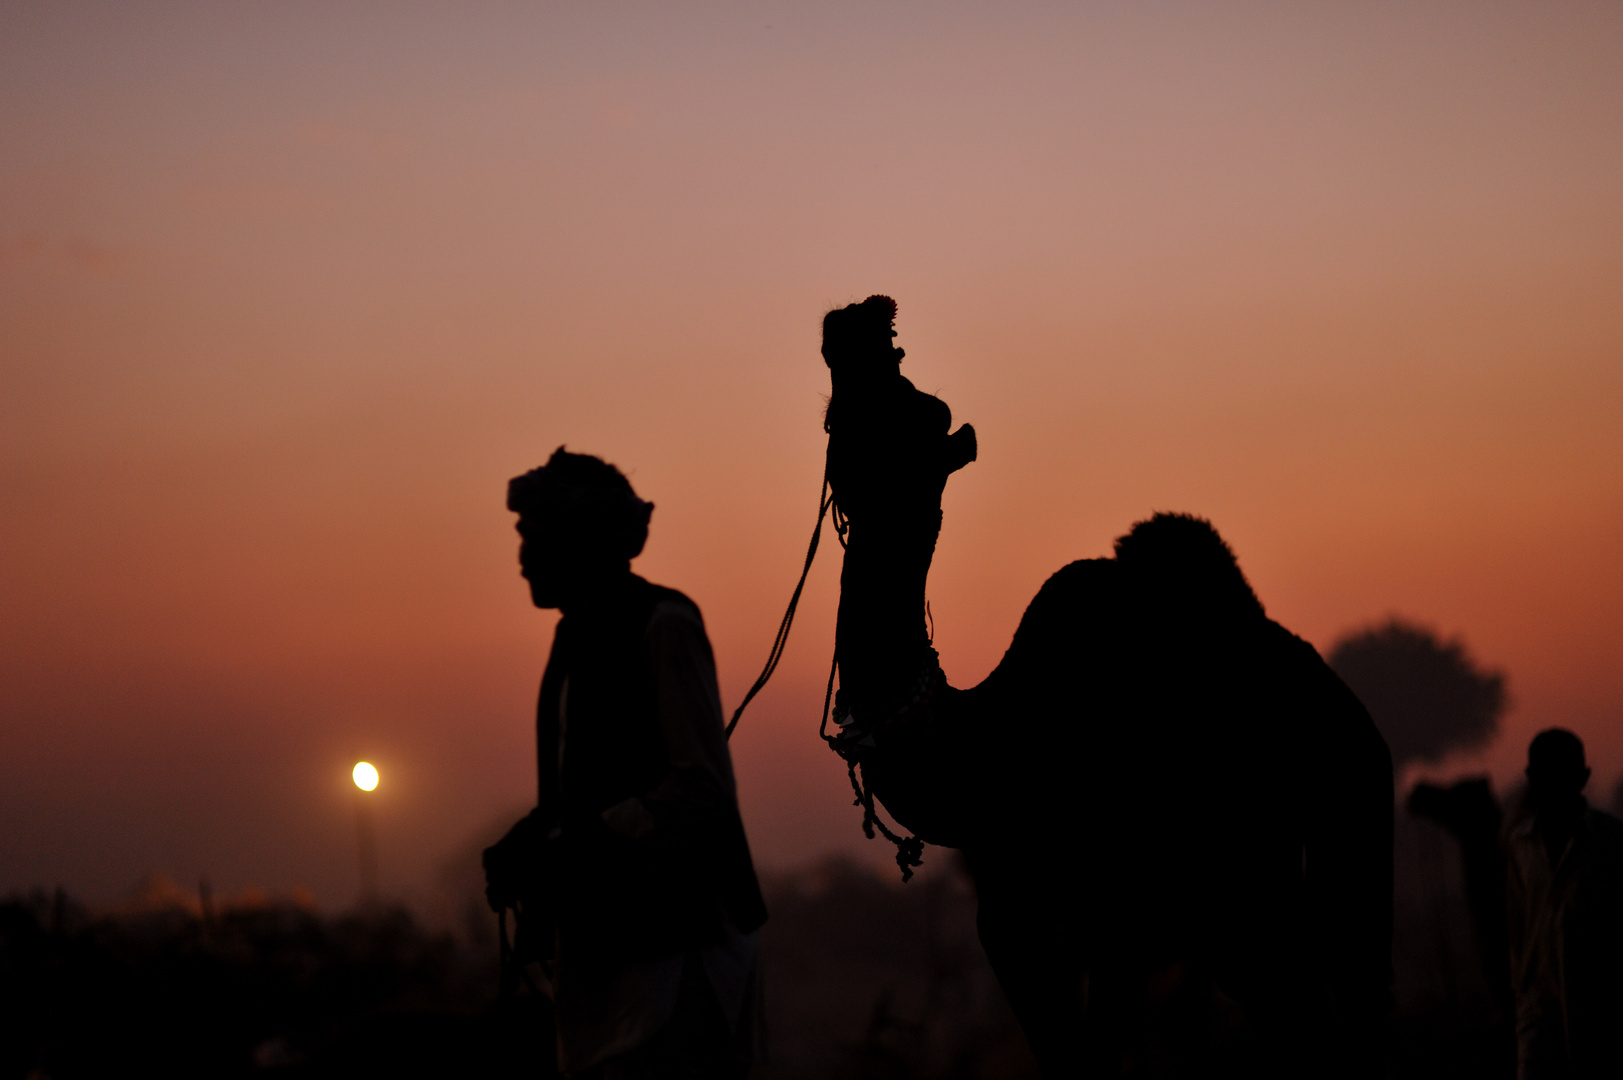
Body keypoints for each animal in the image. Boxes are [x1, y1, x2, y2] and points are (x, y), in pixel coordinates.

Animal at [824, 292, 1395, 1071]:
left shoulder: (1127, 913)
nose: (853, 320)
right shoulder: (1011, 915)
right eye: (837, 411)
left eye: (913, 413)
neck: (991, 741)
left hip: (1328, 839)